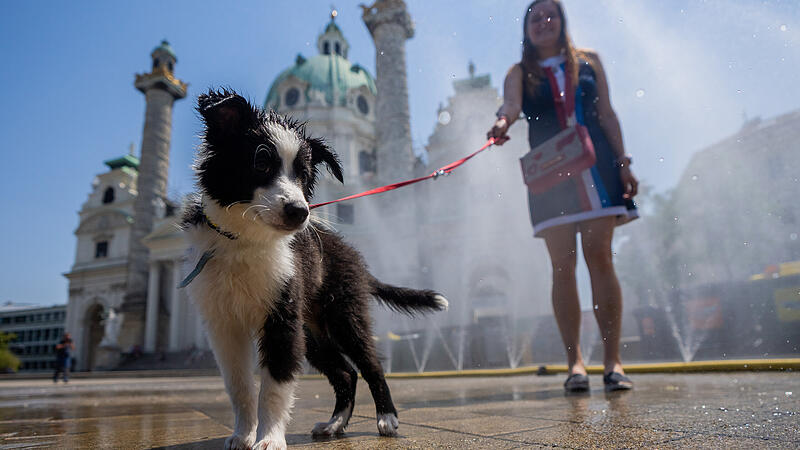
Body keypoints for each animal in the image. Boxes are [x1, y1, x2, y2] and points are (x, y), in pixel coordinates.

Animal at [180, 89, 450, 448]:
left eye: (304, 176)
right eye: (261, 161)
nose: (300, 212)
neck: (246, 240)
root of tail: (353, 255)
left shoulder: (282, 319)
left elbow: (274, 385)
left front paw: (269, 439)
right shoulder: (224, 326)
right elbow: (239, 386)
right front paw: (243, 434)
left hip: (344, 317)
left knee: (371, 365)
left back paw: (387, 417)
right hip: (313, 332)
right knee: (346, 373)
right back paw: (335, 424)